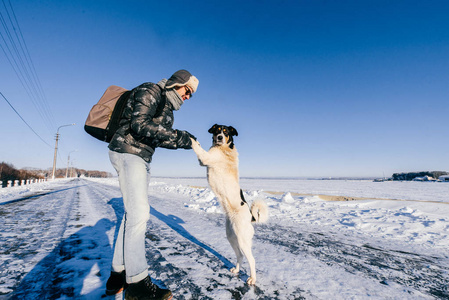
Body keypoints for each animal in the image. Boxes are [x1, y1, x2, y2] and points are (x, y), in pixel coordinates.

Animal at [188, 125, 266, 286]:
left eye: (226, 132)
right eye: (217, 130)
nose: (219, 137)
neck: (224, 148)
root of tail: (250, 217)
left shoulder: (206, 158)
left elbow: (197, 147)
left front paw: (190, 138)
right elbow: (199, 146)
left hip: (242, 240)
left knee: (252, 260)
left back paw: (252, 279)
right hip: (231, 237)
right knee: (240, 256)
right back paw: (236, 270)